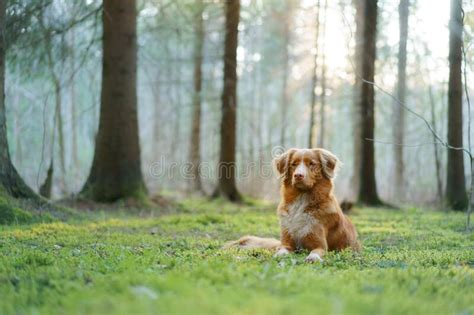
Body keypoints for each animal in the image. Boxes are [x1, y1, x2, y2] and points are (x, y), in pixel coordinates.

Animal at [226, 149, 360, 262]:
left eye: (312, 164)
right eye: (294, 164)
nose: (298, 175)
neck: (301, 200)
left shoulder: (320, 245)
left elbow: (316, 251)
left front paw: (312, 258)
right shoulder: (287, 243)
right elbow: (282, 251)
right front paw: (277, 256)